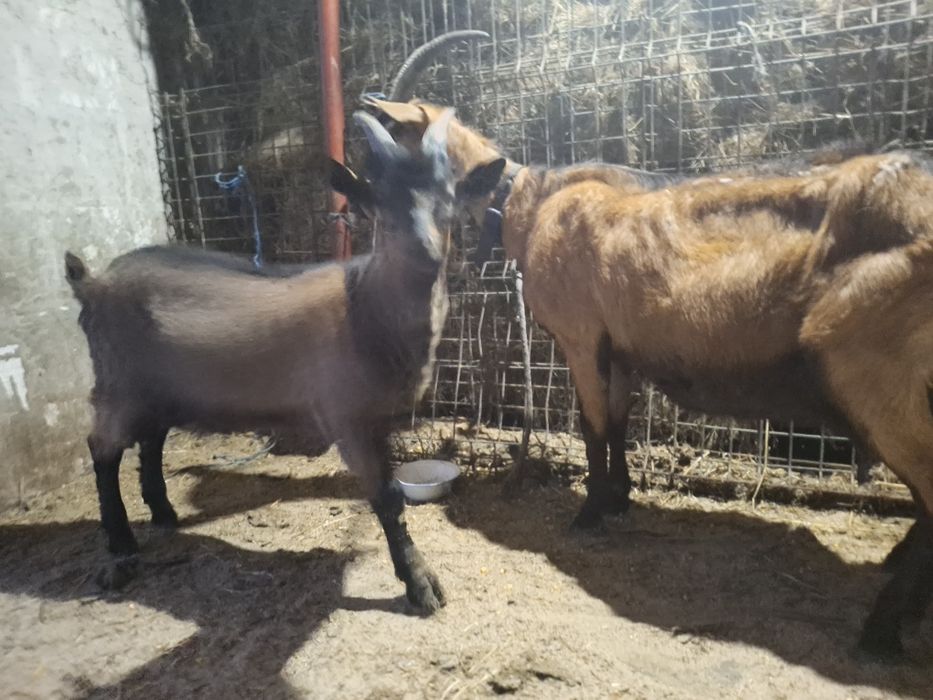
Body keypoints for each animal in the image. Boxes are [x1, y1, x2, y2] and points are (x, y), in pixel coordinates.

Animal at [65, 109, 502, 610]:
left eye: (448, 198)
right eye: (380, 203)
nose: (425, 252)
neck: (364, 305)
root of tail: (92, 282)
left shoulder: (381, 419)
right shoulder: (346, 414)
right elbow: (387, 497)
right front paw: (420, 584)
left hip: (158, 385)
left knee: (151, 439)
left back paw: (163, 513)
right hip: (117, 380)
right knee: (103, 447)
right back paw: (120, 551)